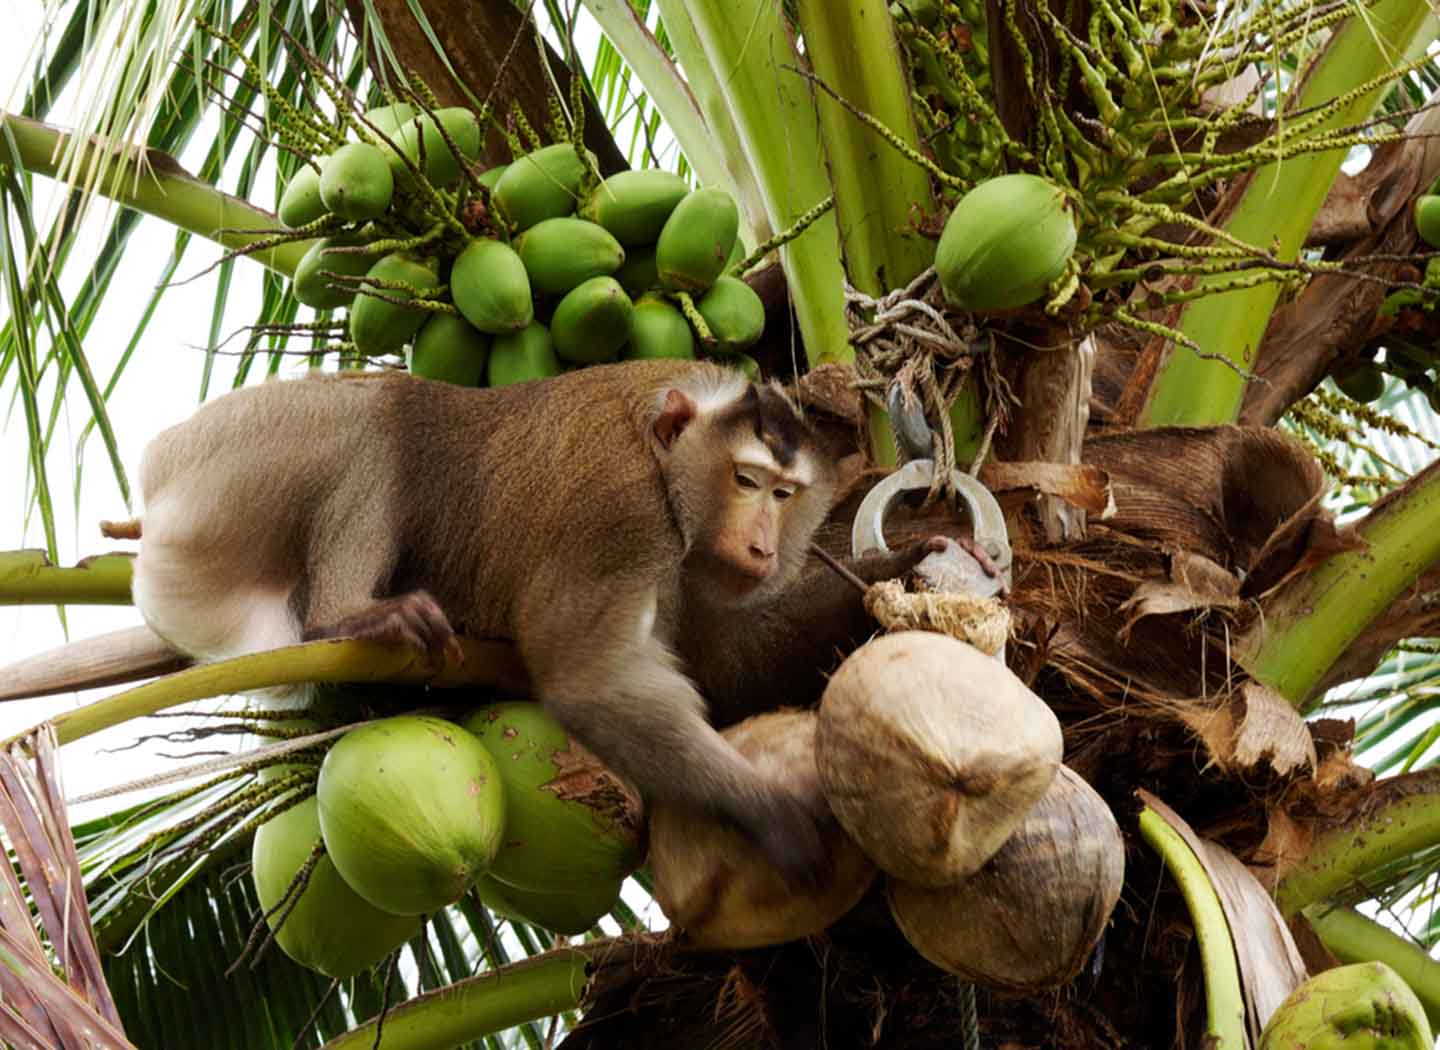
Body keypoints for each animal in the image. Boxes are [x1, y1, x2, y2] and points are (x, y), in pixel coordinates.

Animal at [123, 359, 967, 885]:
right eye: (746, 480)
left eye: (786, 495)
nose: (762, 545)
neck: (665, 456)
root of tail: (155, 470)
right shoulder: (620, 515)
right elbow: (593, 683)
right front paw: (771, 813)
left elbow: (727, 662)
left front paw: (891, 570)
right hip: (227, 466)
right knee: (384, 416)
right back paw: (344, 617)